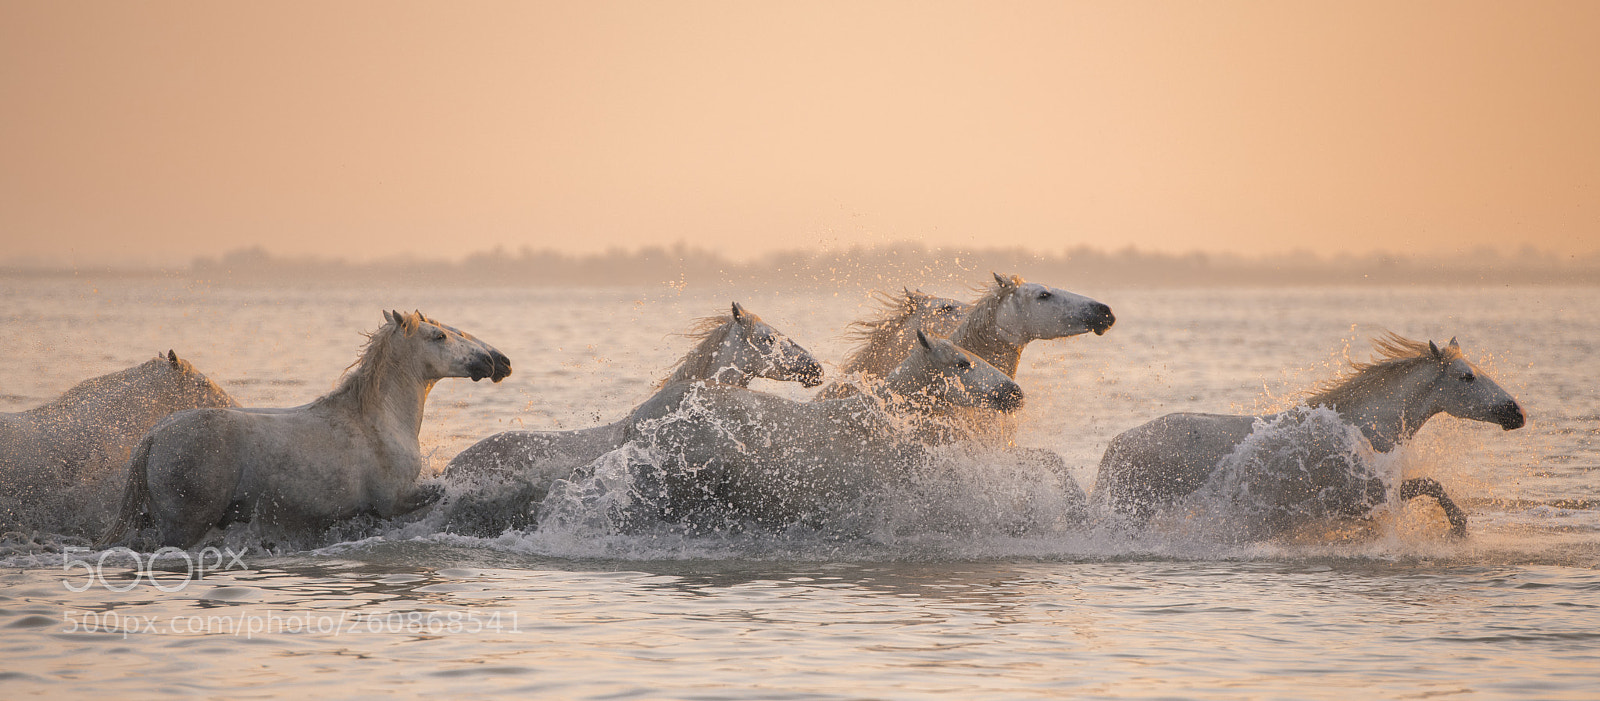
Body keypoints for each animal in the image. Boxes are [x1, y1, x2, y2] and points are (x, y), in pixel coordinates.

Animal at [99, 310, 511, 549]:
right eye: (439, 336)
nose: (498, 362)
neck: (379, 421)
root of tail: (153, 436)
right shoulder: (396, 501)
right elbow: (444, 488)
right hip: (184, 525)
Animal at [1089, 334, 1525, 539]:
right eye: (1466, 377)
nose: (1516, 413)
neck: (1358, 427)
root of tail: (1120, 442)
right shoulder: (1359, 498)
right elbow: (1431, 486)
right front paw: (1459, 528)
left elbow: (1430, 486)